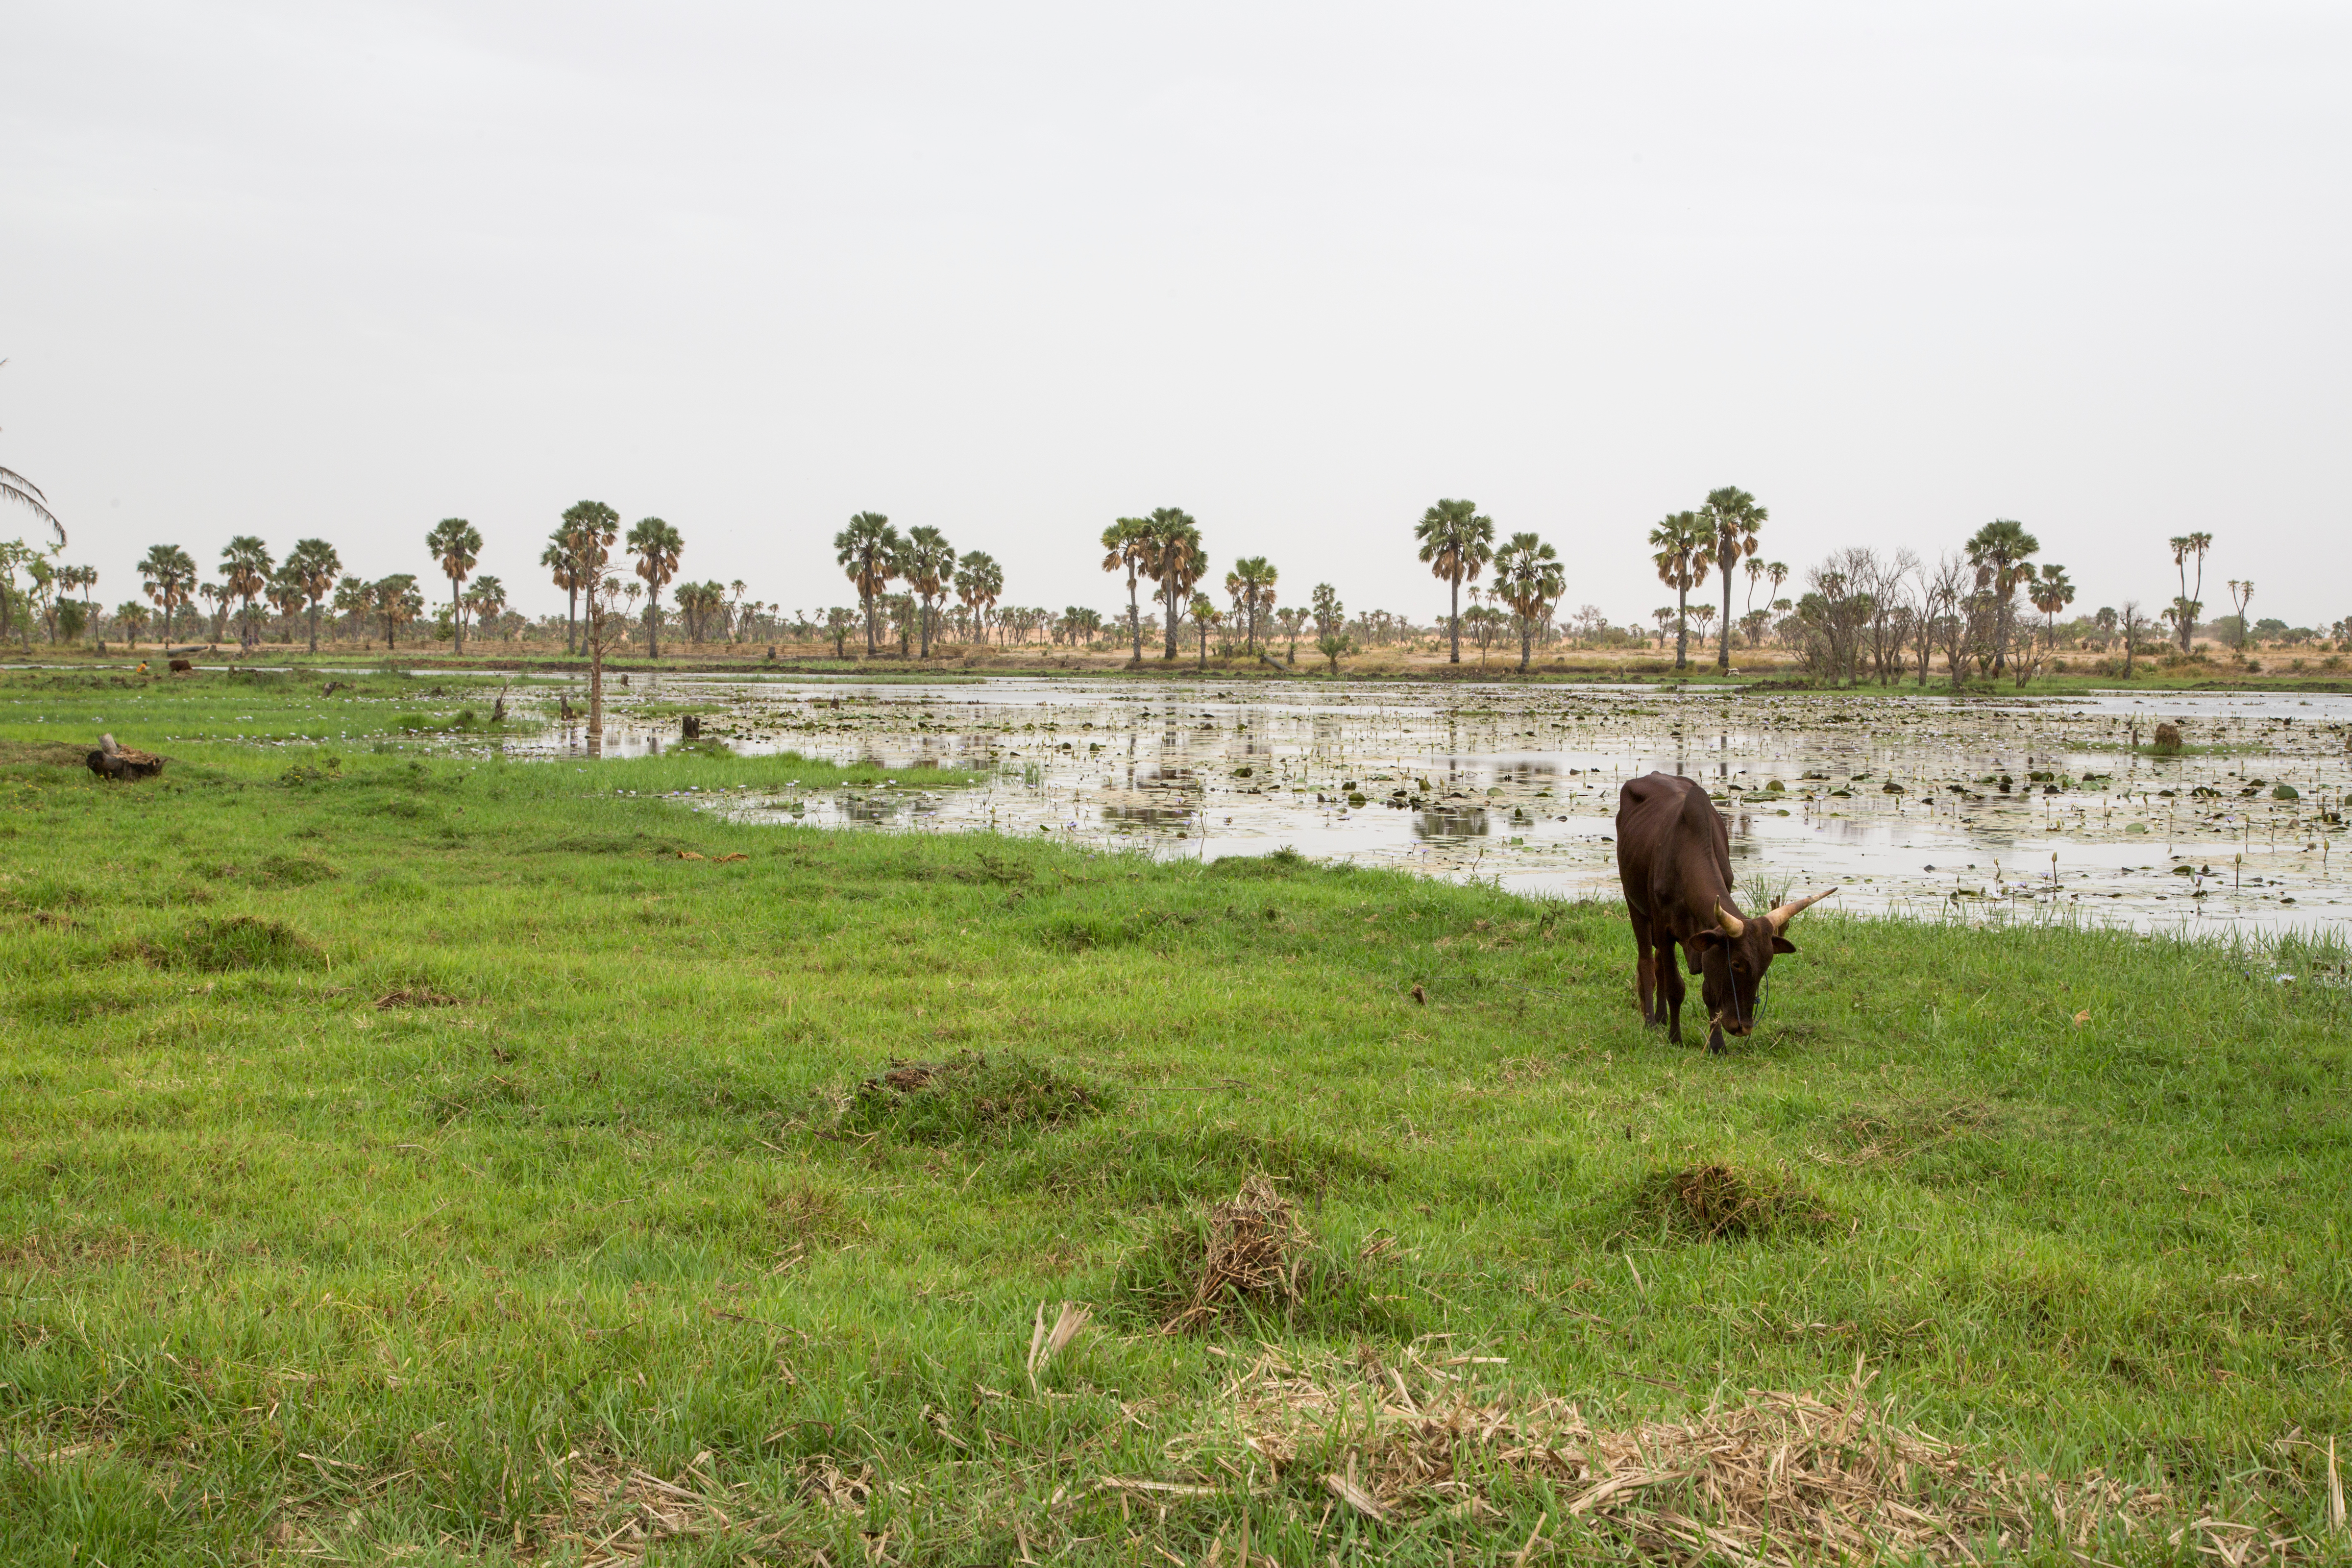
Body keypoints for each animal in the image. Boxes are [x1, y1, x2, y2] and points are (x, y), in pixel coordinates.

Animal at [1618, 771, 1835, 1053]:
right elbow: (1676, 987)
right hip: (1635, 906)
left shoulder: (1708, 935)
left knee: (1657, 965)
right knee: (1646, 963)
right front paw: (1676, 1038)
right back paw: (1652, 1022)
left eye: (1766, 965)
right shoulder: (1664, 929)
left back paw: (1662, 1017)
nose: (1743, 1027)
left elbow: (1710, 992)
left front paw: (1717, 1044)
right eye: (1737, 964)